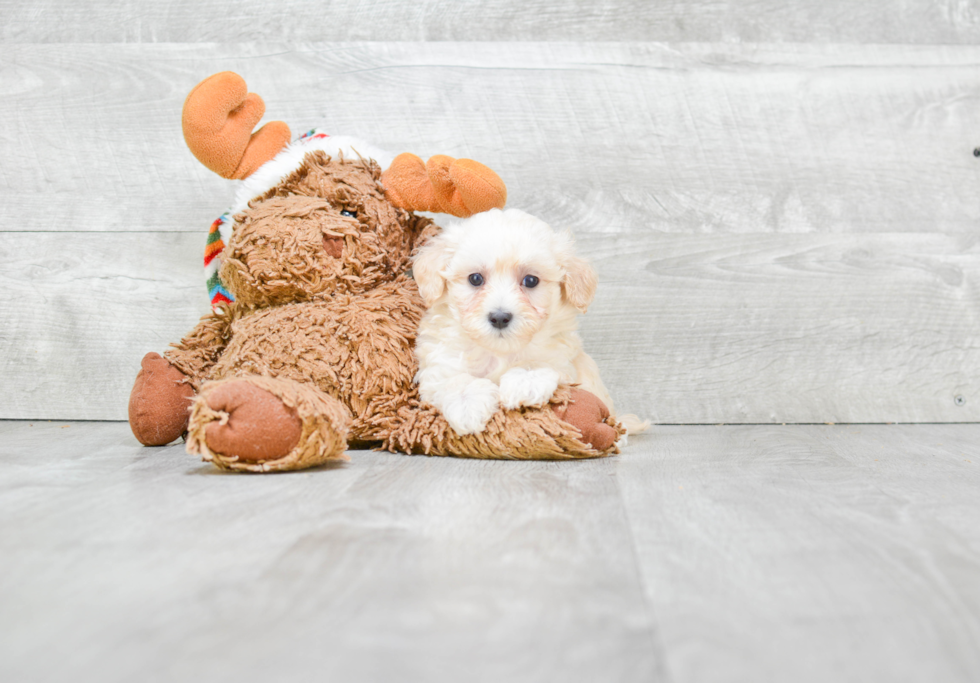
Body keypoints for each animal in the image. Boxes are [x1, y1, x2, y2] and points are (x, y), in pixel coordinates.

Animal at [412, 207, 612, 438]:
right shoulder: (441, 363)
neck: (499, 352)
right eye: (475, 279)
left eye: (531, 281)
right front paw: (467, 404)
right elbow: (454, 378)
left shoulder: (561, 358)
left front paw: (524, 381)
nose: (500, 317)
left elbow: (539, 361)